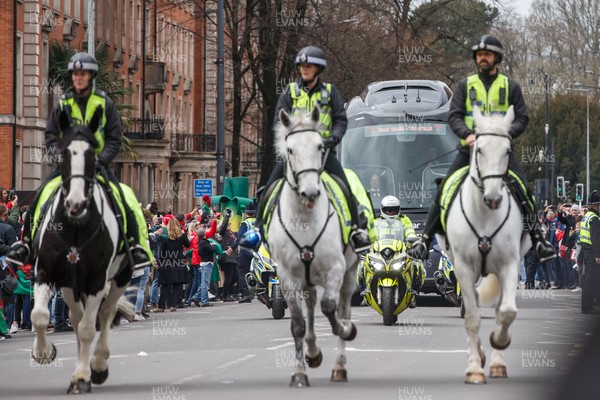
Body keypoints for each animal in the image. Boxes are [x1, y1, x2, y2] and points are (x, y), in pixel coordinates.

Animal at [30, 107, 132, 394]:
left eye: (92, 154)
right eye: (64, 154)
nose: (75, 204)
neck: (75, 226)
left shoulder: (97, 280)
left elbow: (89, 328)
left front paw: (85, 375)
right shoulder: (45, 272)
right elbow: (39, 315)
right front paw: (44, 353)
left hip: (119, 277)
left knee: (105, 314)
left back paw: (97, 365)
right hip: (70, 285)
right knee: (76, 319)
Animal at [268, 106, 358, 388]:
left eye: (320, 146)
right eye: (290, 150)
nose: (309, 192)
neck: (305, 218)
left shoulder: (336, 268)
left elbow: (331, 308)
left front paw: (345, 330)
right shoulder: (286, 275)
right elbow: (297, 323)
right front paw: (299, 372)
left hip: (350, 272)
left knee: (343, 306)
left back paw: (339, 364)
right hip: (305, 277)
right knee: (310, 305)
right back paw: (313, 351)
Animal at [436, 106, 528, 384]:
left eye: (507, 150)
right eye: (479, 150)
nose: (494, 197)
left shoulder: (510, 265)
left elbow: (506, 312)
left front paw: (498, 344)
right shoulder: (464, 267)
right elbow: (472, 316)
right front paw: (475, 368)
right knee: (472, 304)